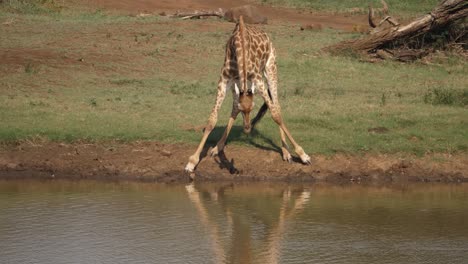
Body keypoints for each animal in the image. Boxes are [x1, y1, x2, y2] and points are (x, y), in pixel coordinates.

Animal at [184, 15, 310, 174]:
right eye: (245, 110)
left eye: (252, 108)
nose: (247, 129)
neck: (240, 50)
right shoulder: (224, 81)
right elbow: (212, 119)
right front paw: (192, 161)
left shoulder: (259, 80)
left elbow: (275, 114)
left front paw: (303, 155)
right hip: (237, 85)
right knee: (234, 108)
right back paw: (217, 147)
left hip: (271, 68)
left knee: (277, 105)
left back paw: (286, 152)